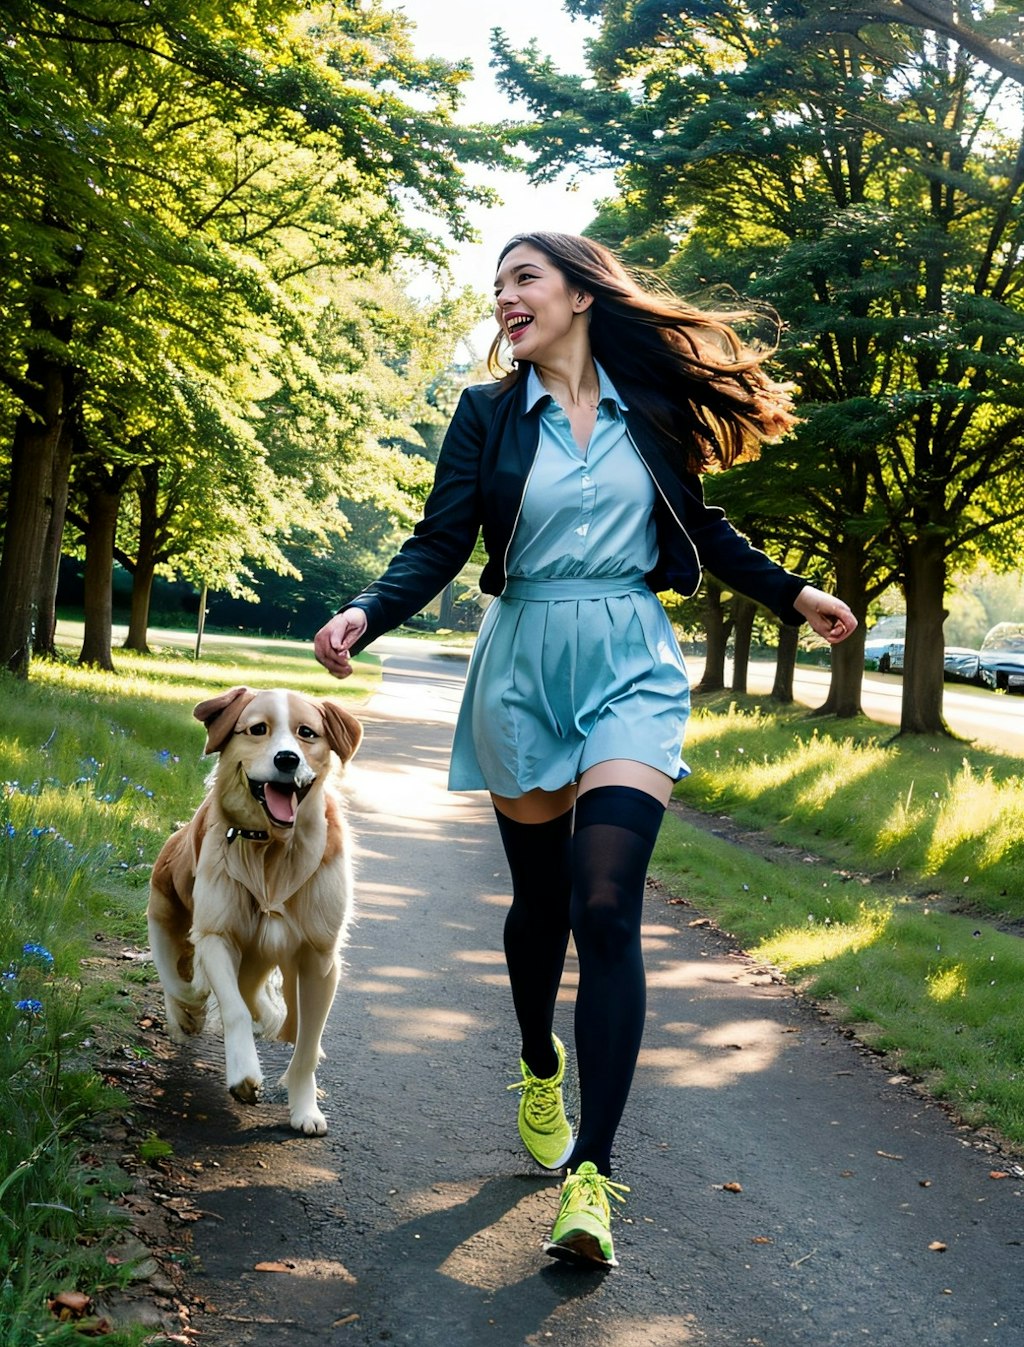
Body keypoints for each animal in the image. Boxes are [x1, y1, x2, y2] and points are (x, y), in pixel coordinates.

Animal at [146, 684, 361, 1136]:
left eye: (307, 733)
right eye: (257, 729)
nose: (287, 759)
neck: (272, 850)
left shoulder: (320, 956)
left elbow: (307, 1042)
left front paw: (304, 1108)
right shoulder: (216, 936)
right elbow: (233, 1010)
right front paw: (244, 1075)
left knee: (284, 1014)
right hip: (165, 912)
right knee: (179, 980)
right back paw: (186, 1017)